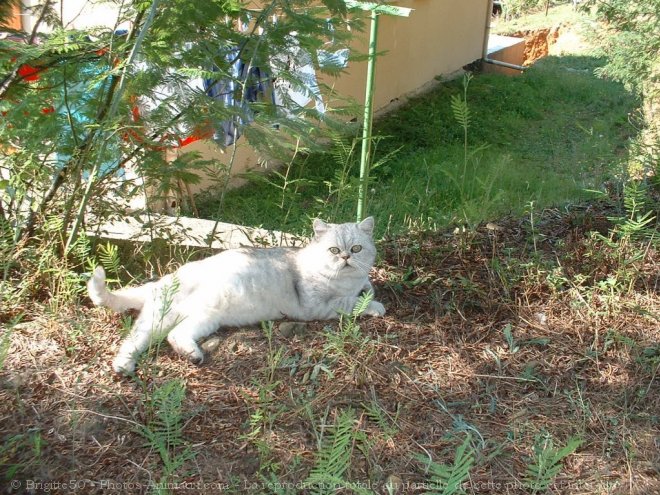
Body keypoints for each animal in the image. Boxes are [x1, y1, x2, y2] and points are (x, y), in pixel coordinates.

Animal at [89, 215, 386, 374]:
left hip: (204, 319)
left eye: (357, 248)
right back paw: (123, 366)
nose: (346, 257)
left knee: (176, 336)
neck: (346, 280)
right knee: (133, 340)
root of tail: (163, 280)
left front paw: (368, 288)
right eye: (334, 250)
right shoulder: (316, 306)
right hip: (160, 319)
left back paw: (193, 355)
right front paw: (375, 305)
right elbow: (352, 302)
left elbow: (366, 286)